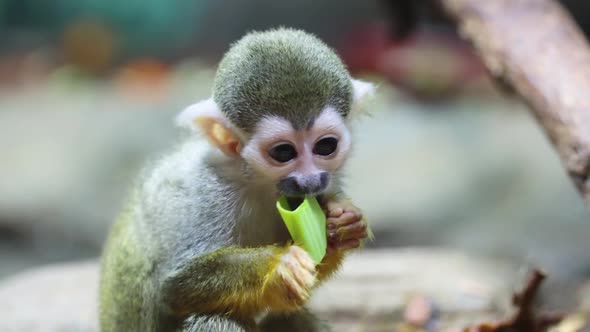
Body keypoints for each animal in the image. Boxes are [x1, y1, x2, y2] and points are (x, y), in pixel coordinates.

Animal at [97, 28, 374, 332]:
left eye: (326, 146)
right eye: (284, 152)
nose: (310, 181)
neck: (255, 181)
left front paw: (343, 225)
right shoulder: (210, 194)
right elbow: (174, 286)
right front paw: (278, 266)